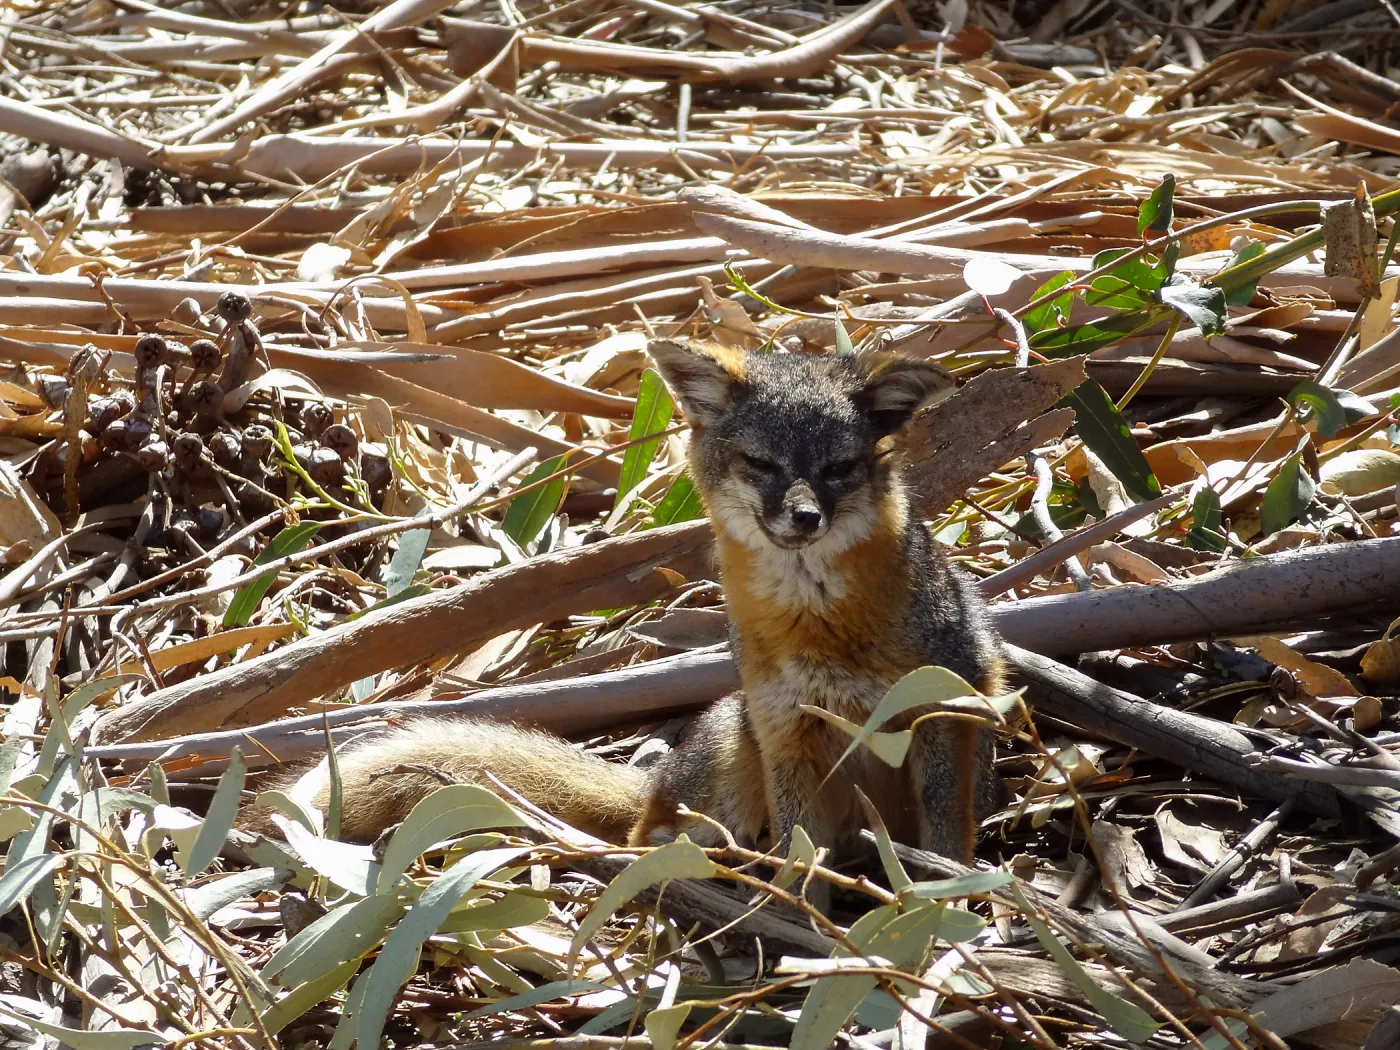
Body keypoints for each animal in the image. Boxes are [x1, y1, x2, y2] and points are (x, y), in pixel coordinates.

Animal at [239, 340, 1006, 865]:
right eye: (761, 464)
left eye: (839, 469)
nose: (805, 518)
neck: (820, 624)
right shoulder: (789, 727)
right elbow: (801, 854)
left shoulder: (945, 706)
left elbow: (945, 839)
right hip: (738, 742)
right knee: (650, 832)